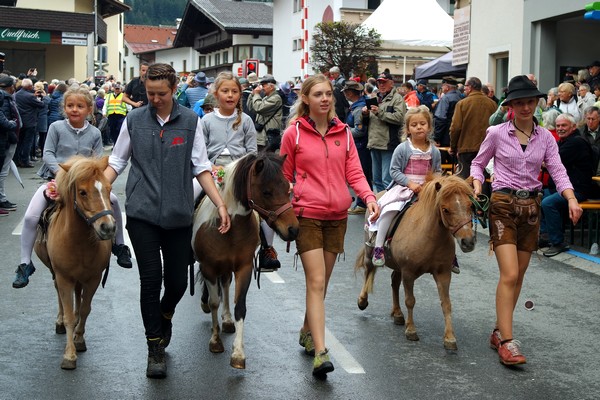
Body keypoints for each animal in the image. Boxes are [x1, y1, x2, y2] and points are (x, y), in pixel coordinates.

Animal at [34, 155, 116, 368]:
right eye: (82, 192)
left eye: (108, 188)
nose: (108, 228)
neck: (78, 241)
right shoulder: (63, 277)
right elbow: (69, 315)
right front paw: (69, 355)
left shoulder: (93, 278)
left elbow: (86, 309)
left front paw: (79, 339)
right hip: (56, 274)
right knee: (60, 295)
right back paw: (59, 321)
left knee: (78, 296)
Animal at [192, 153, 300, 368]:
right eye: (267, 192)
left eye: (287, 187)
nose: (293, 229)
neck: (230, 227)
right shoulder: (209, 267)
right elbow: (214, 301)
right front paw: (215, 341)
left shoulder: (244, 267)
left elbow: (240, 306)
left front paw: (238, 354)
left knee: (225, 285)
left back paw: (226, 320)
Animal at [354, 175, 476, 350]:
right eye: (445, 209)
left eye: (471, 206)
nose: (468, 242)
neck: (430, 235)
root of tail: (378, 194)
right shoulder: (409, 272)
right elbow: (410, 300)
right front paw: (411, 330)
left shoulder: (443, 273)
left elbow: (446, 304)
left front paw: (450, 337)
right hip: (370, 253)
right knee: (369, 270)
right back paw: (362, 300)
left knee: (394, 281)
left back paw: (397, 313)